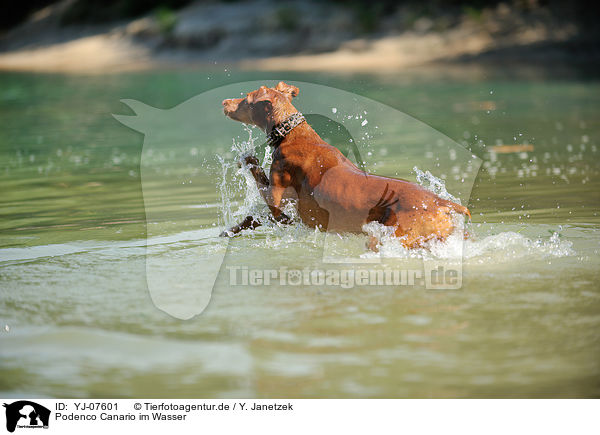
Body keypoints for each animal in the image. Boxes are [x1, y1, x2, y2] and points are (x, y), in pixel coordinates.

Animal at [220, 82, 468, 249]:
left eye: (245, 99)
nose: (224, 102)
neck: (292, 134)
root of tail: (442, 203)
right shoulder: (283, 213)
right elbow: (252, 218)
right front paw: (228, 231)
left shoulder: (277, 201)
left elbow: (257, 174)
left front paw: (248, 159)